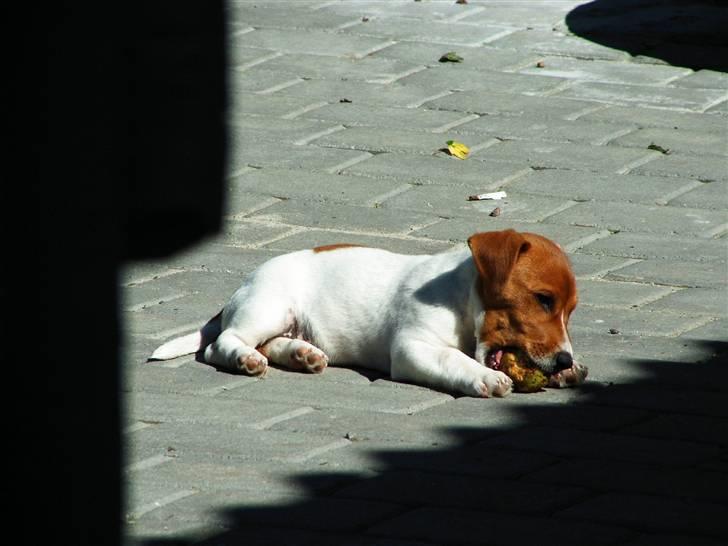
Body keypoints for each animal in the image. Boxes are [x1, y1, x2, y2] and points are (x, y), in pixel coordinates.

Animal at [152, 227, 584, 398]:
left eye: (570, 311)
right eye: (543, 299)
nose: (564, 358)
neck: (461, 300)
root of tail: (242, 287)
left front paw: (570, 371)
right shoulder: (413, 347)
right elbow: (453, 358)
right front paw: (485, 377)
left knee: (273, 344)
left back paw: (303, 355)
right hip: (268, 307)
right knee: (223, 343)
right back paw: (245, 359)